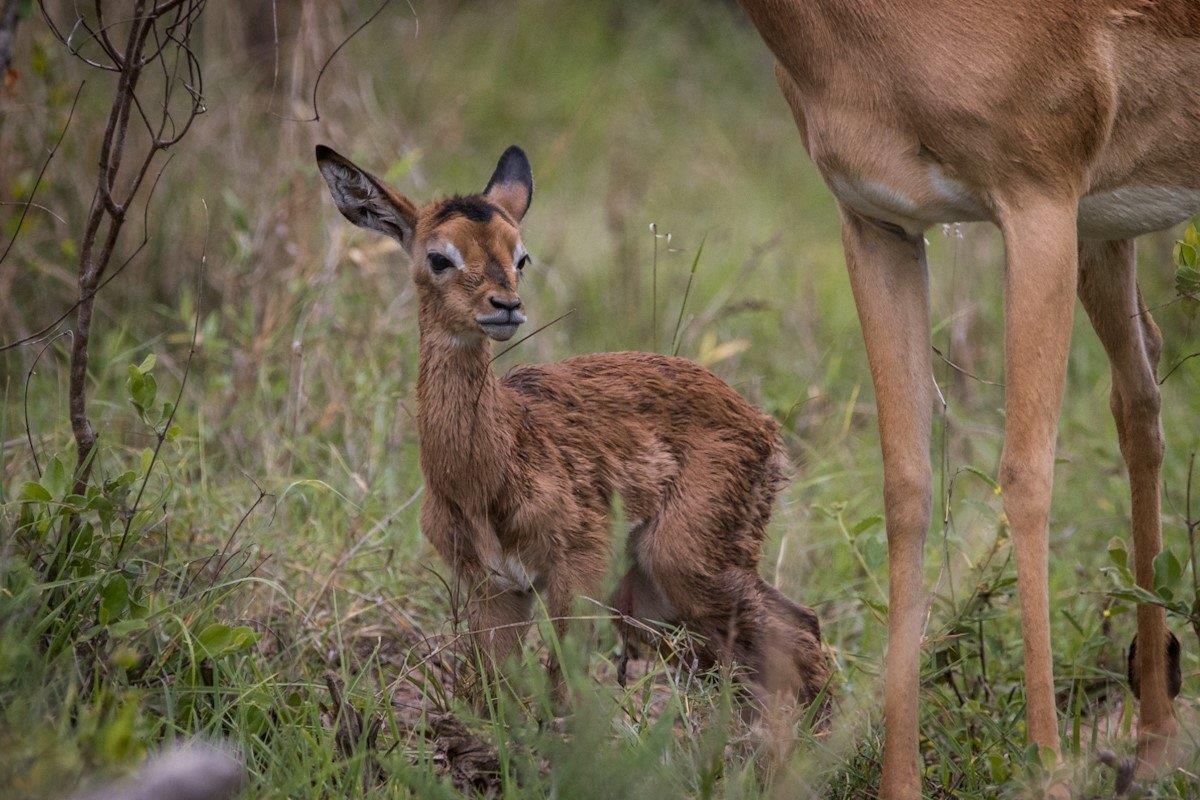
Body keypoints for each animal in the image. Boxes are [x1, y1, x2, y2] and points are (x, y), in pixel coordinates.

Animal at [315, 144, 829, 711]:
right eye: (438, 257)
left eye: (521, 256)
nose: (506, 306)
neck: (487, 472)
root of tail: (764, 426)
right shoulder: (494, 588)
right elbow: (496, 690)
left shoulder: (577, 567)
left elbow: (565, 686)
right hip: (651, 593)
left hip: (683, 563)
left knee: (801, 632)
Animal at [736, 1, 1198, 796]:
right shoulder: (879, 222)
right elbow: (907, 486)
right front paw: (900, 783)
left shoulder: (1039, 204)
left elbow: (1026, 477)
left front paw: (1047, 771)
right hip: (1106, 233)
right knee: (1139, 399)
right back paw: (1155, 739)